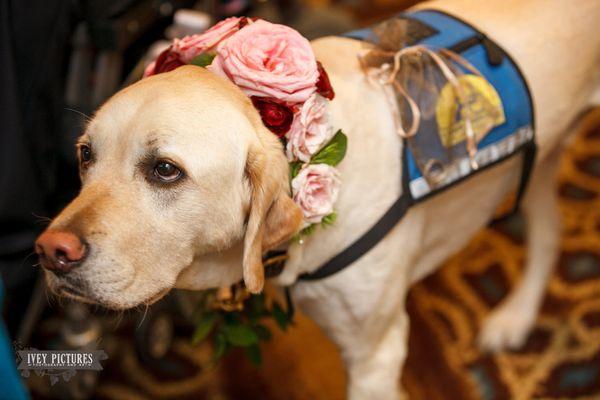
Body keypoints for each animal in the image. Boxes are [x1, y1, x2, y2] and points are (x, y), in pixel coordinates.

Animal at [35, 1, 596, 398]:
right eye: (85, 155)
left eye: (165, 170)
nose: (50, 252)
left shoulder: (376, 358)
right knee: (550, 232)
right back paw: (516, 317)